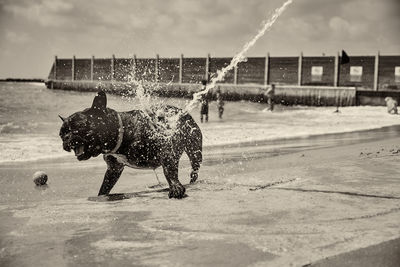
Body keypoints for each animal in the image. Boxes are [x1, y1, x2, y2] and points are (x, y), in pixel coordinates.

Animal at [58, 92, 203, 199]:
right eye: (61, 134)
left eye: (78, 127)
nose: (65, 139)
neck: (122, 129)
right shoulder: (114, 168)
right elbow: (105, 185)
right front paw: (101, 195)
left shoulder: (166, 152)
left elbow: (169, 171)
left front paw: (175, 187)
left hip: (194, 150)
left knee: (194, 168)